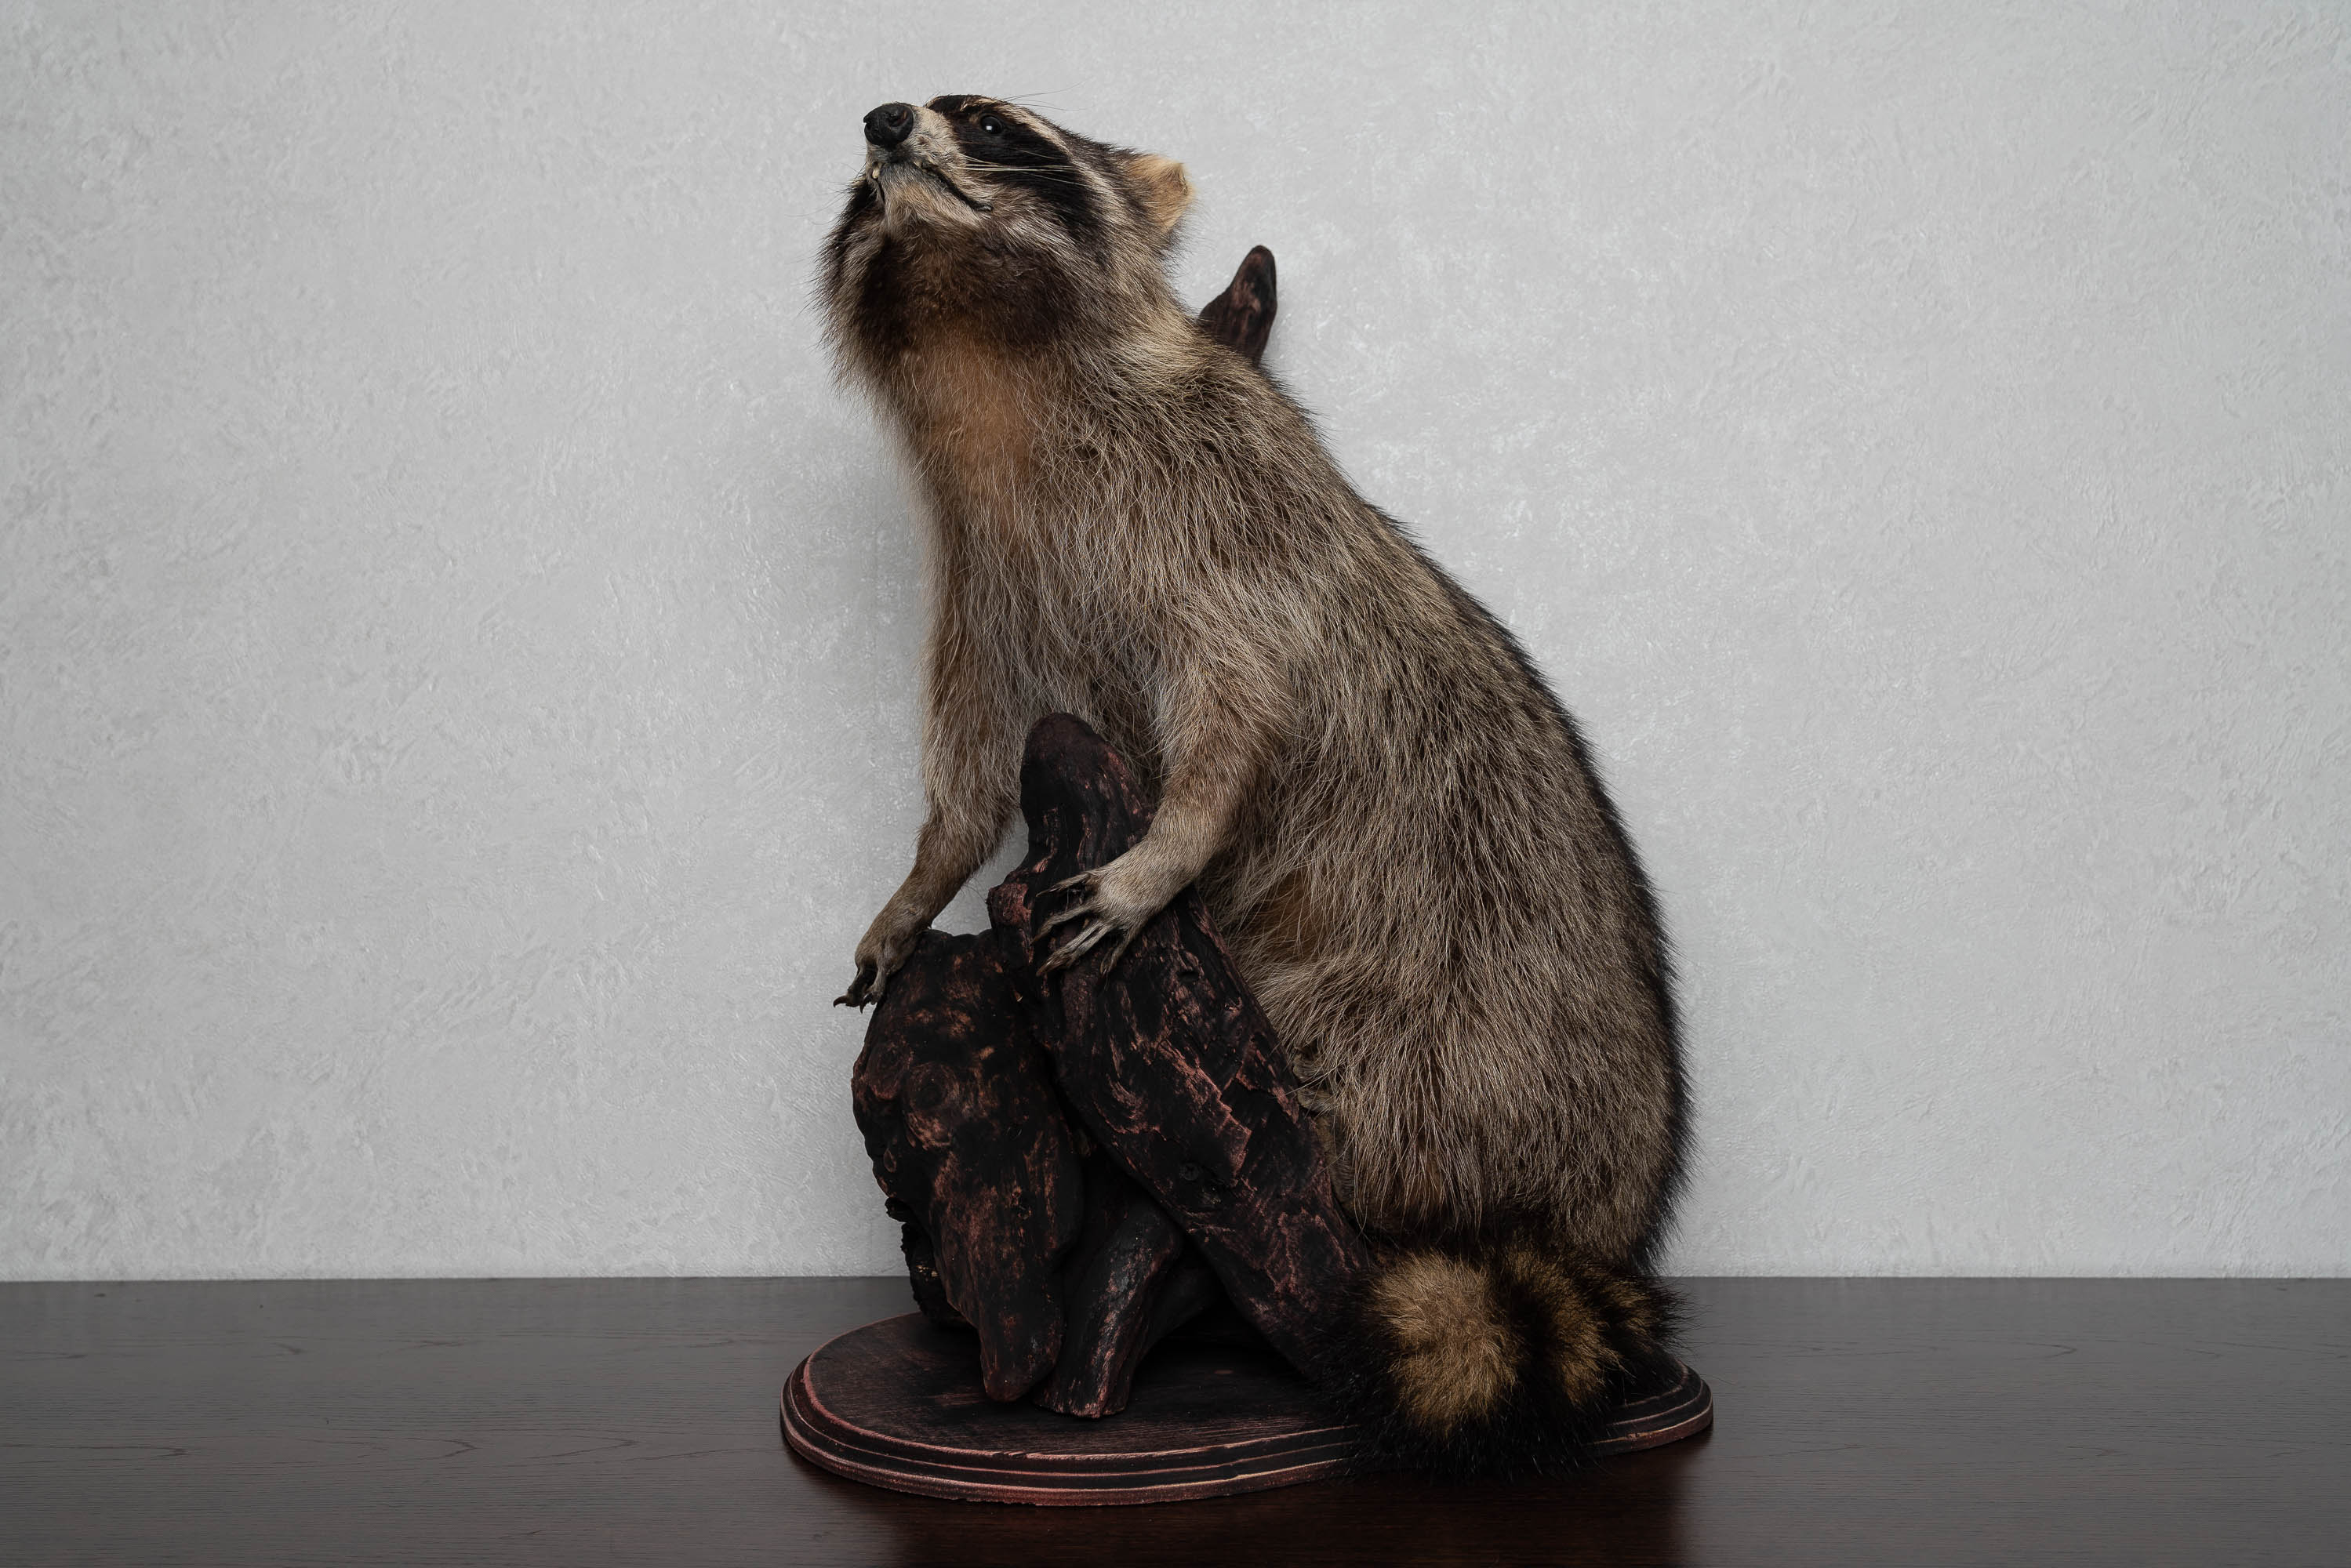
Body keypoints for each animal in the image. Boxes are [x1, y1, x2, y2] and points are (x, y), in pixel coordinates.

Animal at [821, 95, 1688, 1472]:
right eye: (858, 180)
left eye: (992, 121)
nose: (885, 119)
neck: (990, 353)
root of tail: (1609, 1212)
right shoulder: (979, 567)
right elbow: (974, 764)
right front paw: (924, 877)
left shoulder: (1215, 509)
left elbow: (1242, 705)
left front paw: (1165, 847)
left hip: (1450, 1031)